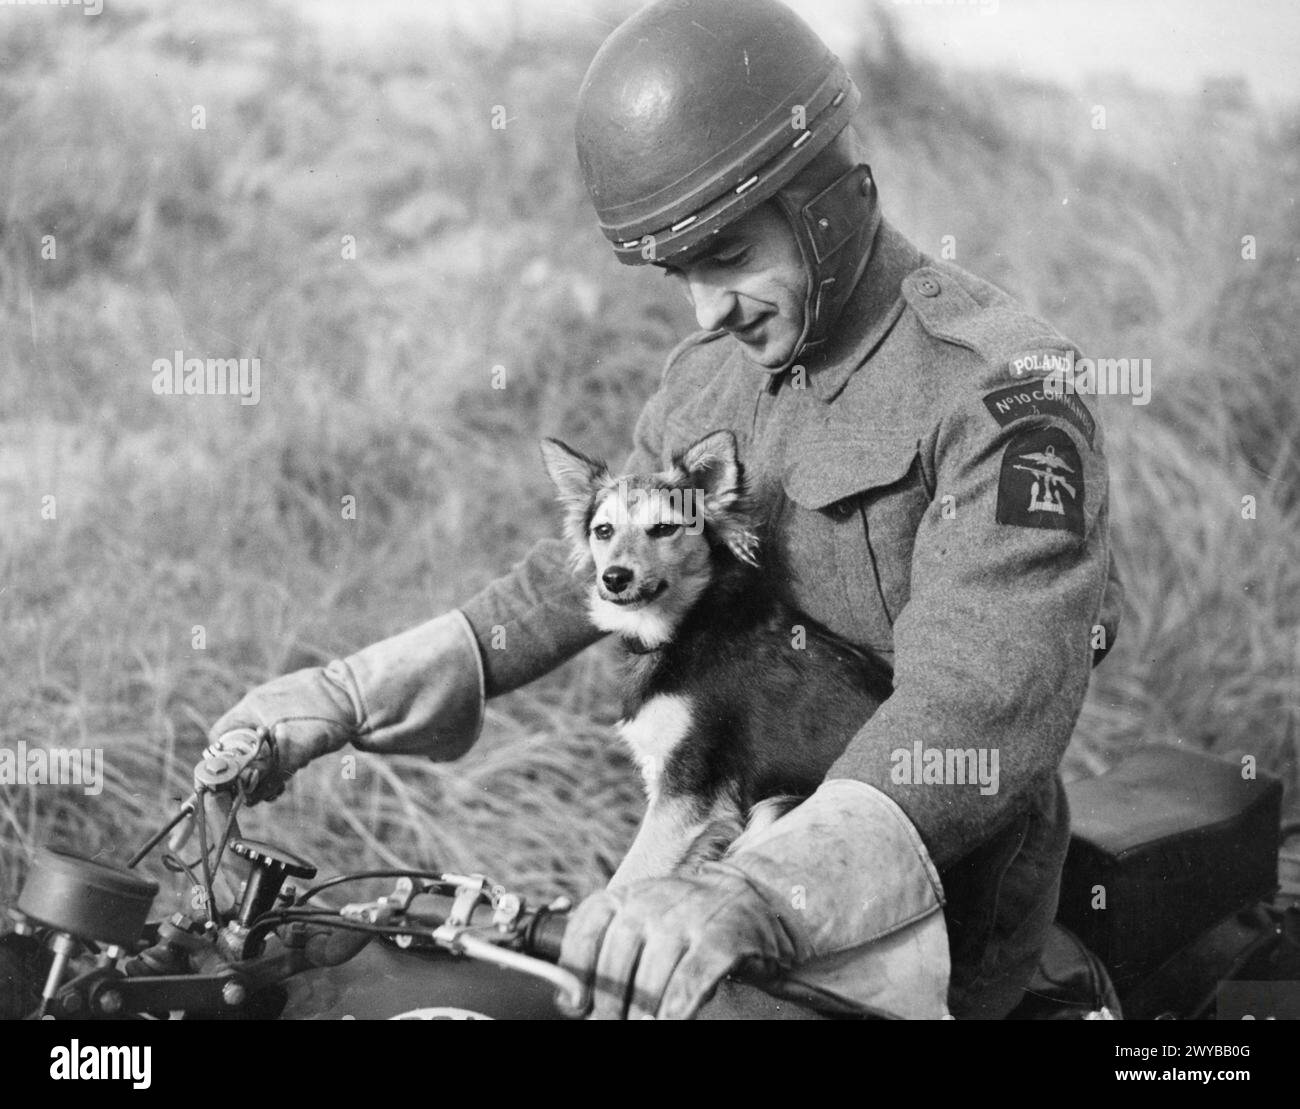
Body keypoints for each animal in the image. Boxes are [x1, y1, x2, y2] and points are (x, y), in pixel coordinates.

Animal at [538, 429, 894, 889]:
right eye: (603, 530)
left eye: (664, 528)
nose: (614, 578)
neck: (686, 625)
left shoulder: (686, 796)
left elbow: (627, 880)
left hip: (776, 808)